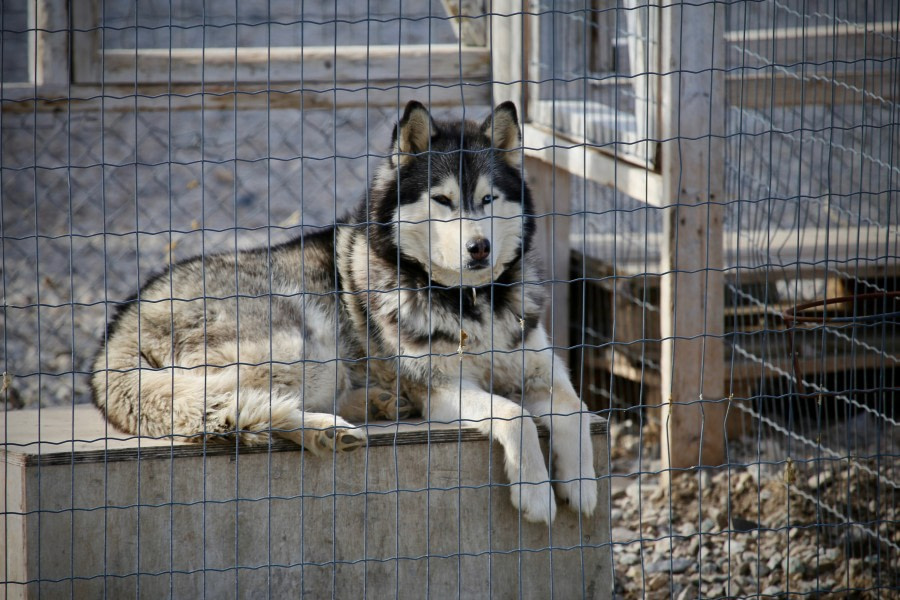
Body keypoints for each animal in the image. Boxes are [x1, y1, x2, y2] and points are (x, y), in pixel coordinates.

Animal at [91, 101, 596, 524]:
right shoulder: (440, 390)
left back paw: (377, 404)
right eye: (443, 200)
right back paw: (327, 430)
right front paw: (536, 493)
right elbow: (514, 415)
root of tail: (115, 334)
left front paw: (582, 484)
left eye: (489, 199)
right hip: (304, 347)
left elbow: (574, 407)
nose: (479, 247)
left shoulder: (541, 373)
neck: (468, 302)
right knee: (239, 407)